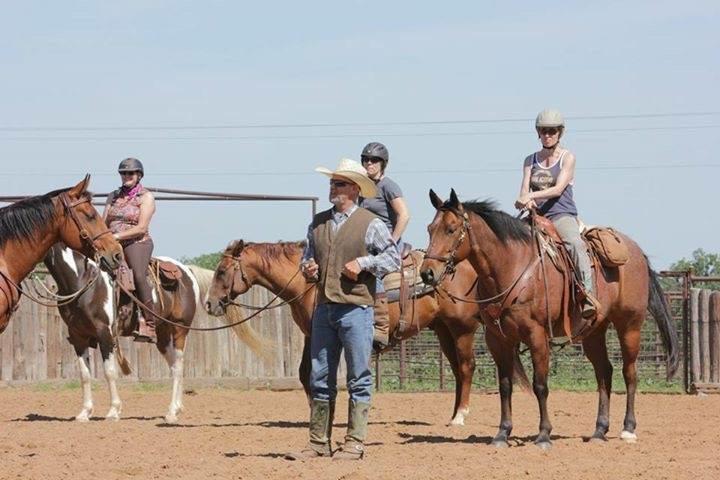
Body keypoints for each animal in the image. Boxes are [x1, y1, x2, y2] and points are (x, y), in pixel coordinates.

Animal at [42, 243, 268, 423]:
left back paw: (172, 413)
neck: (84, 280)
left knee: (178, 367)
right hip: (162, 335)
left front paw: (114, 411)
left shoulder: (105, 335)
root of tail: (187, 270)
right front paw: (85, 412)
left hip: (179, 329)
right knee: (175, 366)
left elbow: (109, 372)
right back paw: (177, 407)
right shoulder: (78, 338)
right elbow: (85, 375)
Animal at [204, 239, 528, 425]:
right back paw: (452, 415)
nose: (209, 303)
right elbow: (305, 373)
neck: (310, 283)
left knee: (467, 366)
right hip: (443, 330)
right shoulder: (312, 335)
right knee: (458, 371)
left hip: (462, 328)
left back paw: (461, 416)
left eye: (222, 271)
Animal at [420, 189, 680, 448]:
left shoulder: (536, 335)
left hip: (630, 325)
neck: (511, 266)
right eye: (430, 228)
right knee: (604, 372)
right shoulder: (497, 339)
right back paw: (599, 431)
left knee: (630, 373)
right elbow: (505, 386)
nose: (427, 273)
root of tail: (636, 252)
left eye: (451, 229)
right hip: (594, 331)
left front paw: (544, 435)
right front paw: (502, 434)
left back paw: (628, 429)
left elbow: (540, 385)